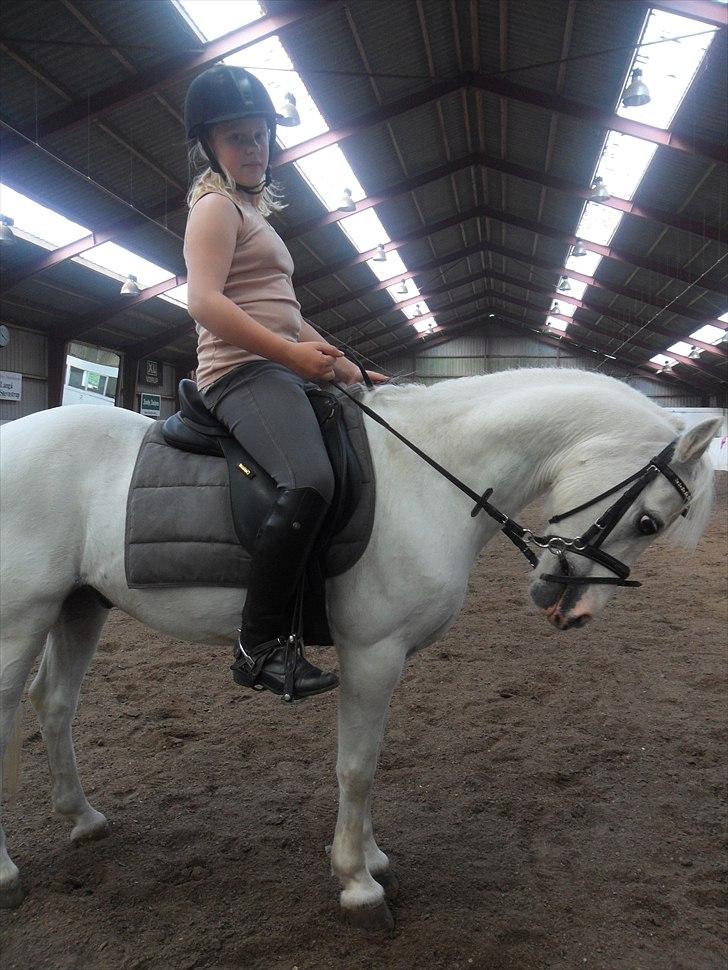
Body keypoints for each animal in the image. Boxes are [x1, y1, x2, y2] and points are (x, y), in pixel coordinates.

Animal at [0, 367, 718, 929]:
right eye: (648, 521)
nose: (572, 611)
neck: (433, 476)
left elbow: (368, 763)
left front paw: (371, 860)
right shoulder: (374, 652)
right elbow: (359, 767)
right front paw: (359, 883)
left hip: (79, 607)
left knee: (54, 704)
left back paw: (84, 818)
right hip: (21, 619)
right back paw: (7, 874)